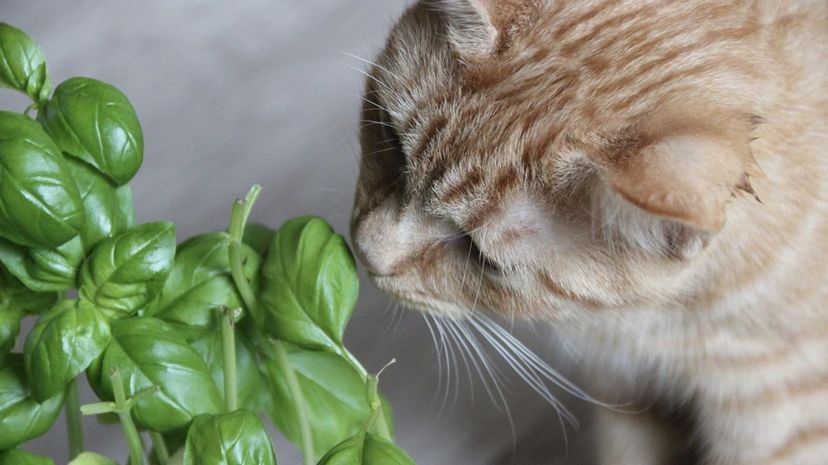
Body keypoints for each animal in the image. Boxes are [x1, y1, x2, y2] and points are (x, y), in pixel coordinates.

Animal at [350, 1, 828, 462]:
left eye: (480, 255)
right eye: (391, 141)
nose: (367, 254)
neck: (654, 324)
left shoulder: (779, 418)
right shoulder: (624, 391)